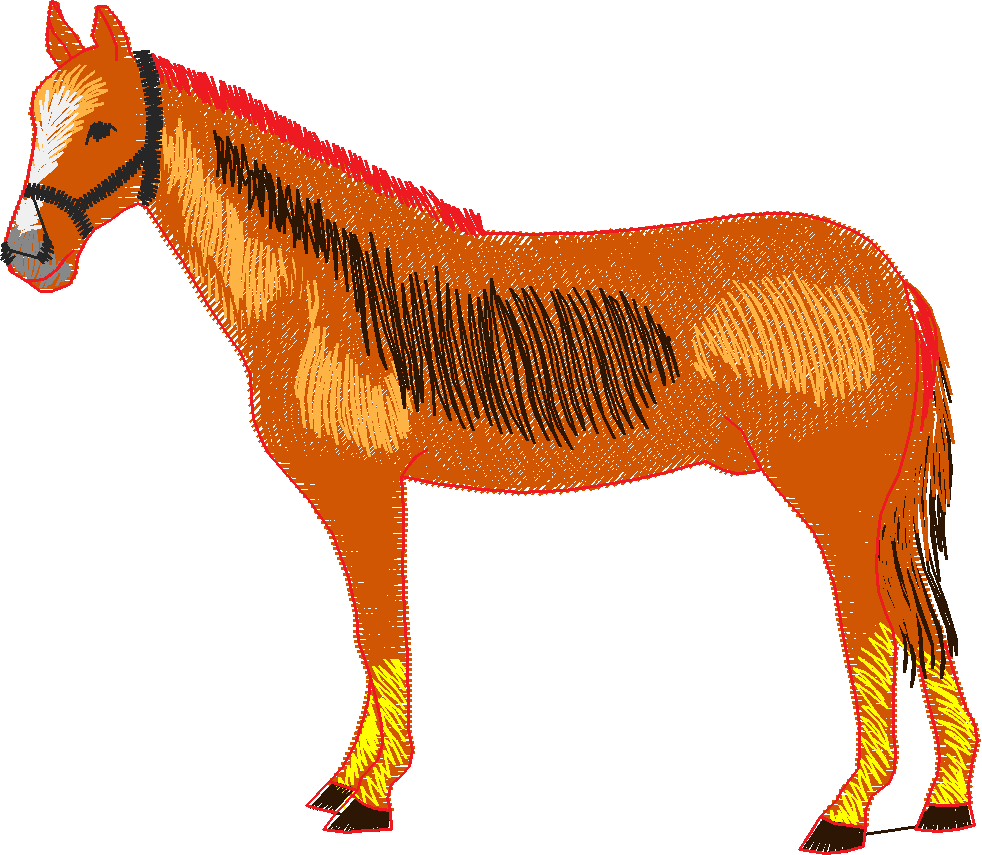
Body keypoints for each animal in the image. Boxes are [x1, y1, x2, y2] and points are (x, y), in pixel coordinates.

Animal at [6, 3, 976, 848]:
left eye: (102, 129)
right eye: (33, 118)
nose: (27, 254)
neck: (313, 291)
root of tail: (891, 279)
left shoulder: (365, 486)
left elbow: (383, 633)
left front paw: (369, 798)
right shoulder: (360, 492)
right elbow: (370, 635)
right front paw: (346, 781)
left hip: (836, 498)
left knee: (873, 632)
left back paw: (846, 813)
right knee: (916, 627)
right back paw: (946, 802)